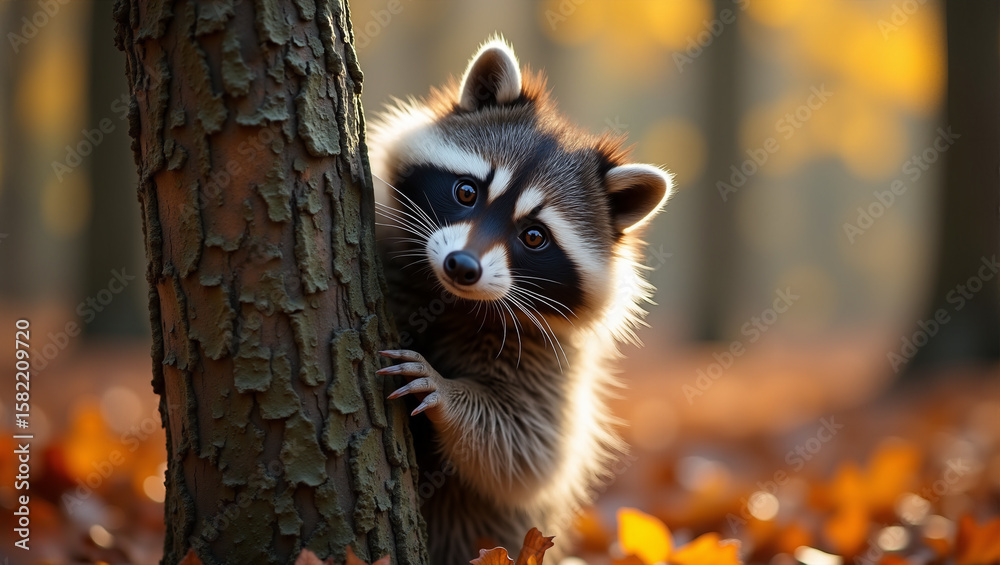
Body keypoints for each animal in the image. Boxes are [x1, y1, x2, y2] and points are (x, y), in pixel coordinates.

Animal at [367, 37, 674, 564]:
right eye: (466, 191)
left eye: (534, 236)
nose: (462, 266)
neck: (450, 297)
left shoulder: (551, 361)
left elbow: (528, 450)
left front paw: (448, 393)